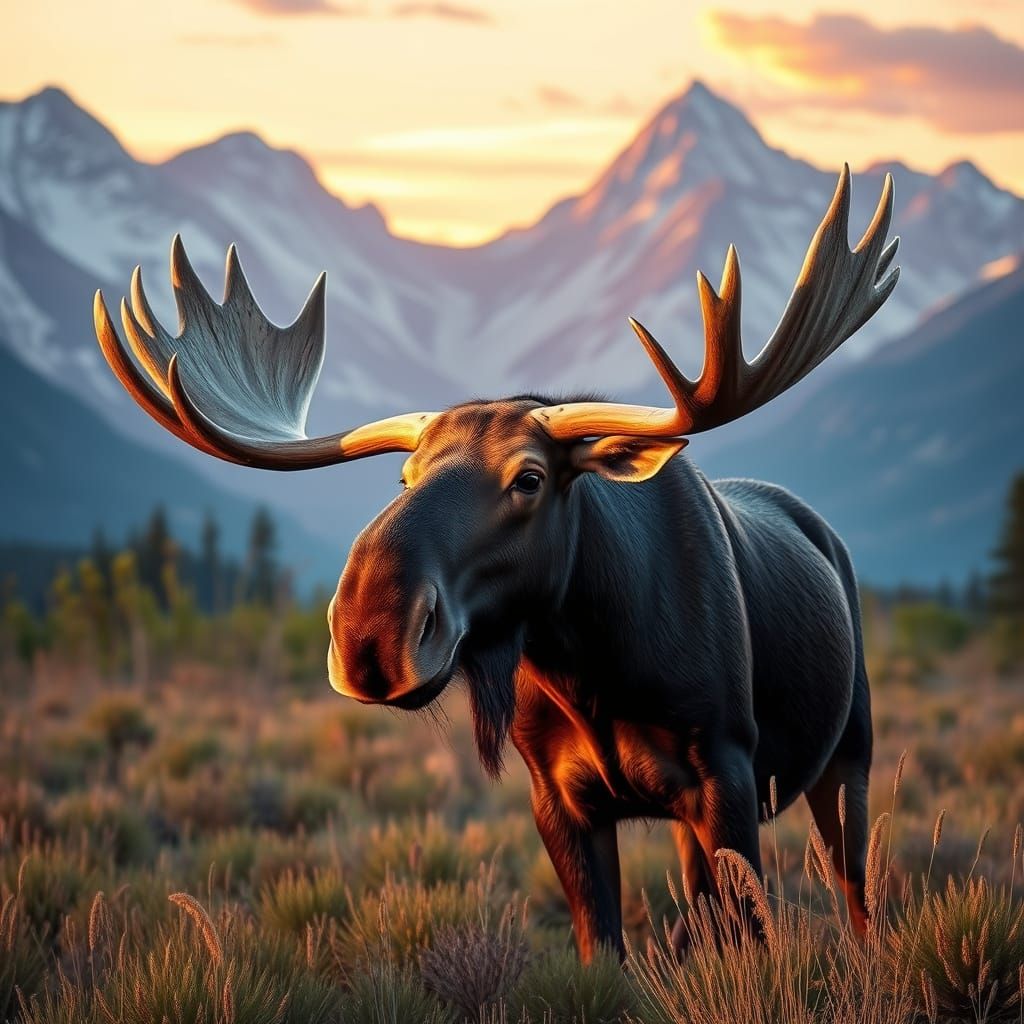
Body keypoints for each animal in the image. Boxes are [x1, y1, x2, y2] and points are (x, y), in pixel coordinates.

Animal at [94, 166, 899, 962]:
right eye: (405, 475)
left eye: (530, 478)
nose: (369, 634)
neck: (594, 669)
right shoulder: (559, 796)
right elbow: (605, 947)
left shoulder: (727, 774)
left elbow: (744, 939)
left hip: (848, 754)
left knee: (857, 894)